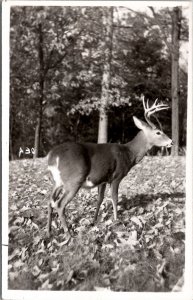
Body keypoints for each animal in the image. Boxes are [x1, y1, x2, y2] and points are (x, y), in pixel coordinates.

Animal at [46, 98, 173, 241]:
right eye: (158, 132)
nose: (171, 142)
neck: (128, 153)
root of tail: (52, 156)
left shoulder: (103, 180)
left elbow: (100, 199)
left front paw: (94, 220)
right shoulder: (117, 176)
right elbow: (114, 198)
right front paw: (116, 219)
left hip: (57, 181)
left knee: (50, 201)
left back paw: (48, 232)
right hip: (74, 180)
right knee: (59, 204)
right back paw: (68, 234)